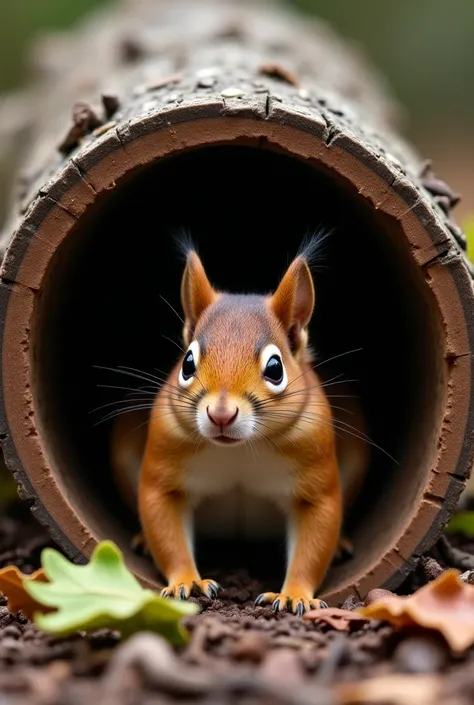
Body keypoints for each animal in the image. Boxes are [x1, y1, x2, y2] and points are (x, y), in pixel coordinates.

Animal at [109, 239, 368, 612]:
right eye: (187, 363)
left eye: (275, 368)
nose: (220, 414)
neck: (241, 449)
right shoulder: (164, 472)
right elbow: (167, 532)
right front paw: (187, 581)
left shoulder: (316, 485)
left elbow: (313, 543)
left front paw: (294, 595)